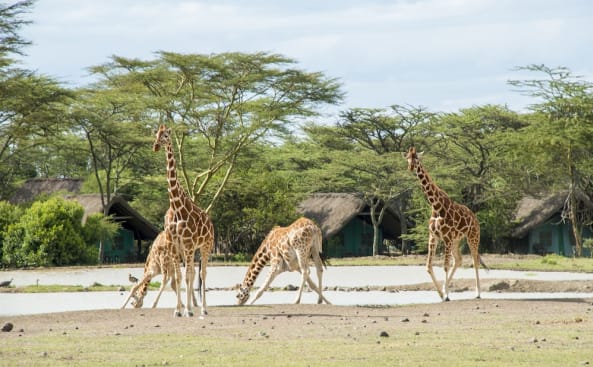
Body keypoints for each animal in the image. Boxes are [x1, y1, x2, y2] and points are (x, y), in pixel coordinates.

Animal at [153, 126, 215, 316]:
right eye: (155, 135)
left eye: (166, 135)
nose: (155, 146)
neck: (176, 207)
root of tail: (211, 223)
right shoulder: (174, 245)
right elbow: (181, 276)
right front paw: (178, 310)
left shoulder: (188, 244)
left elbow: (188, 275)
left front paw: (188, 310)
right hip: (189, 250)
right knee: (192, 273)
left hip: (206, 245)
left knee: (202, 273)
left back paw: (203, 309)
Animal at [402, 147, 486, 302]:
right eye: (407, 158)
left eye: (417, 158)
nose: (410, 167)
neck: (436, 206)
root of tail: (475, 218)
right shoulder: (433, 236)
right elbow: (429, 266)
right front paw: (441, 293)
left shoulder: (446, 237)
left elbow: (445, 266)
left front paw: (446, 295)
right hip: (456, 240)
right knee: (458, 260)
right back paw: (446, 288)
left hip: (473, 237)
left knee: (475, 260)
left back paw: (478, 293)